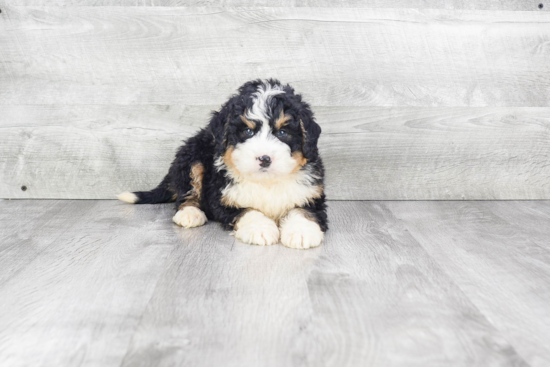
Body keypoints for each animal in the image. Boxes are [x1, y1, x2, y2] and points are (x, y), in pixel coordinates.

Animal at [118, 78, 328, 249]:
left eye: (283, 133)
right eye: (248, 132)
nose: (264, 158)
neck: (266, 182)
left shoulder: (312, 194)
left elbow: (303, 210)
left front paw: (301, 232)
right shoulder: (221, 197)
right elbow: (248, 210)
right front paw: (260, 229)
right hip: (192, 157)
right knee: (186, 191)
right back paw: (189, 213)